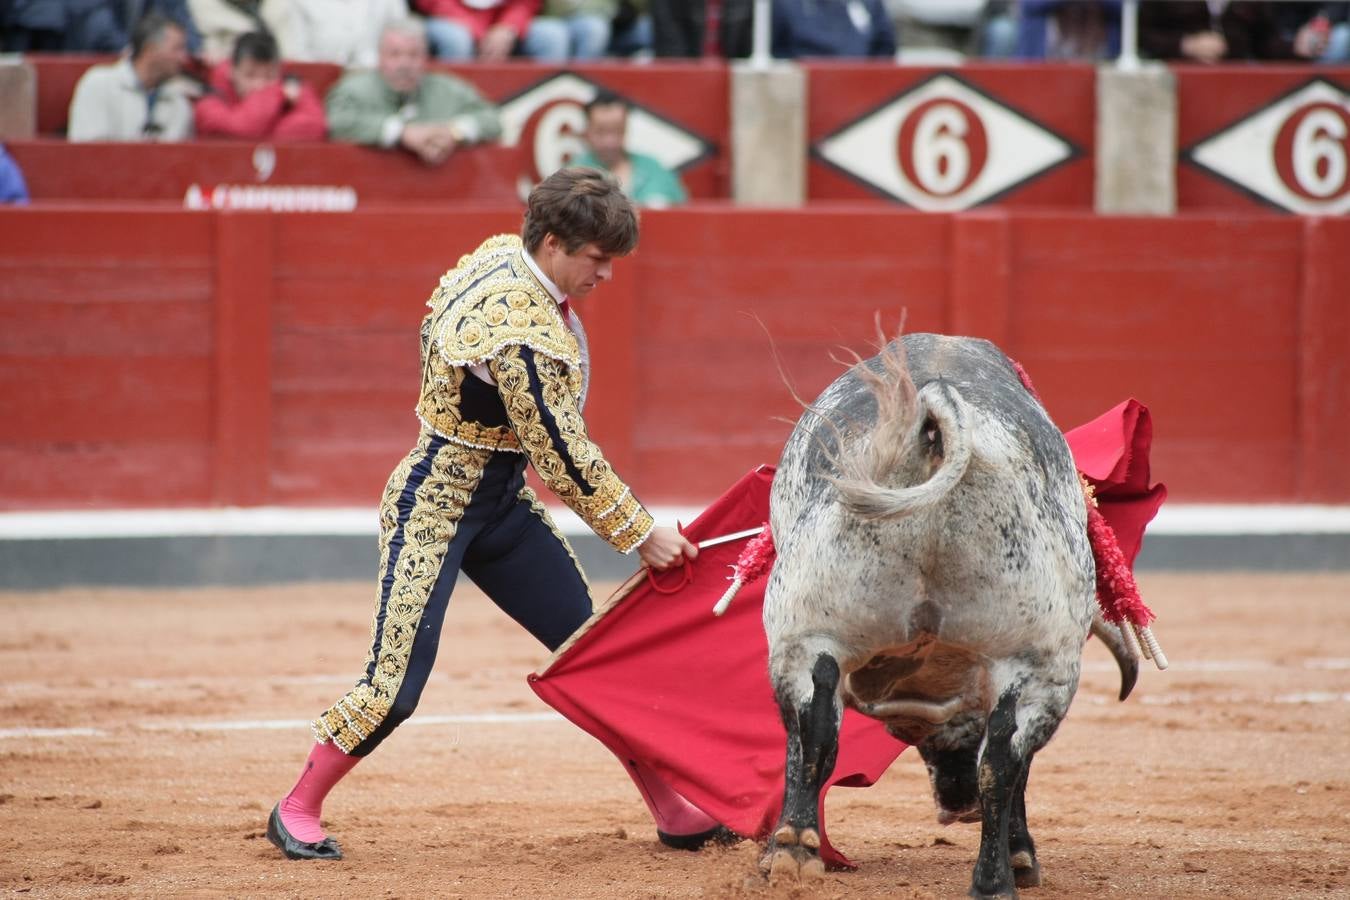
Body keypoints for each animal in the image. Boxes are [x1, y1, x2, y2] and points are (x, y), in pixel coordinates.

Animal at [761, 333, 1139, 900]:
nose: (957, 805)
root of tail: (935, 411)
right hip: (1034, 661)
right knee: (1002, 759)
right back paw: (994, 877)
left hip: (812, 632)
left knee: (820, 729)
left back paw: (795, 852)